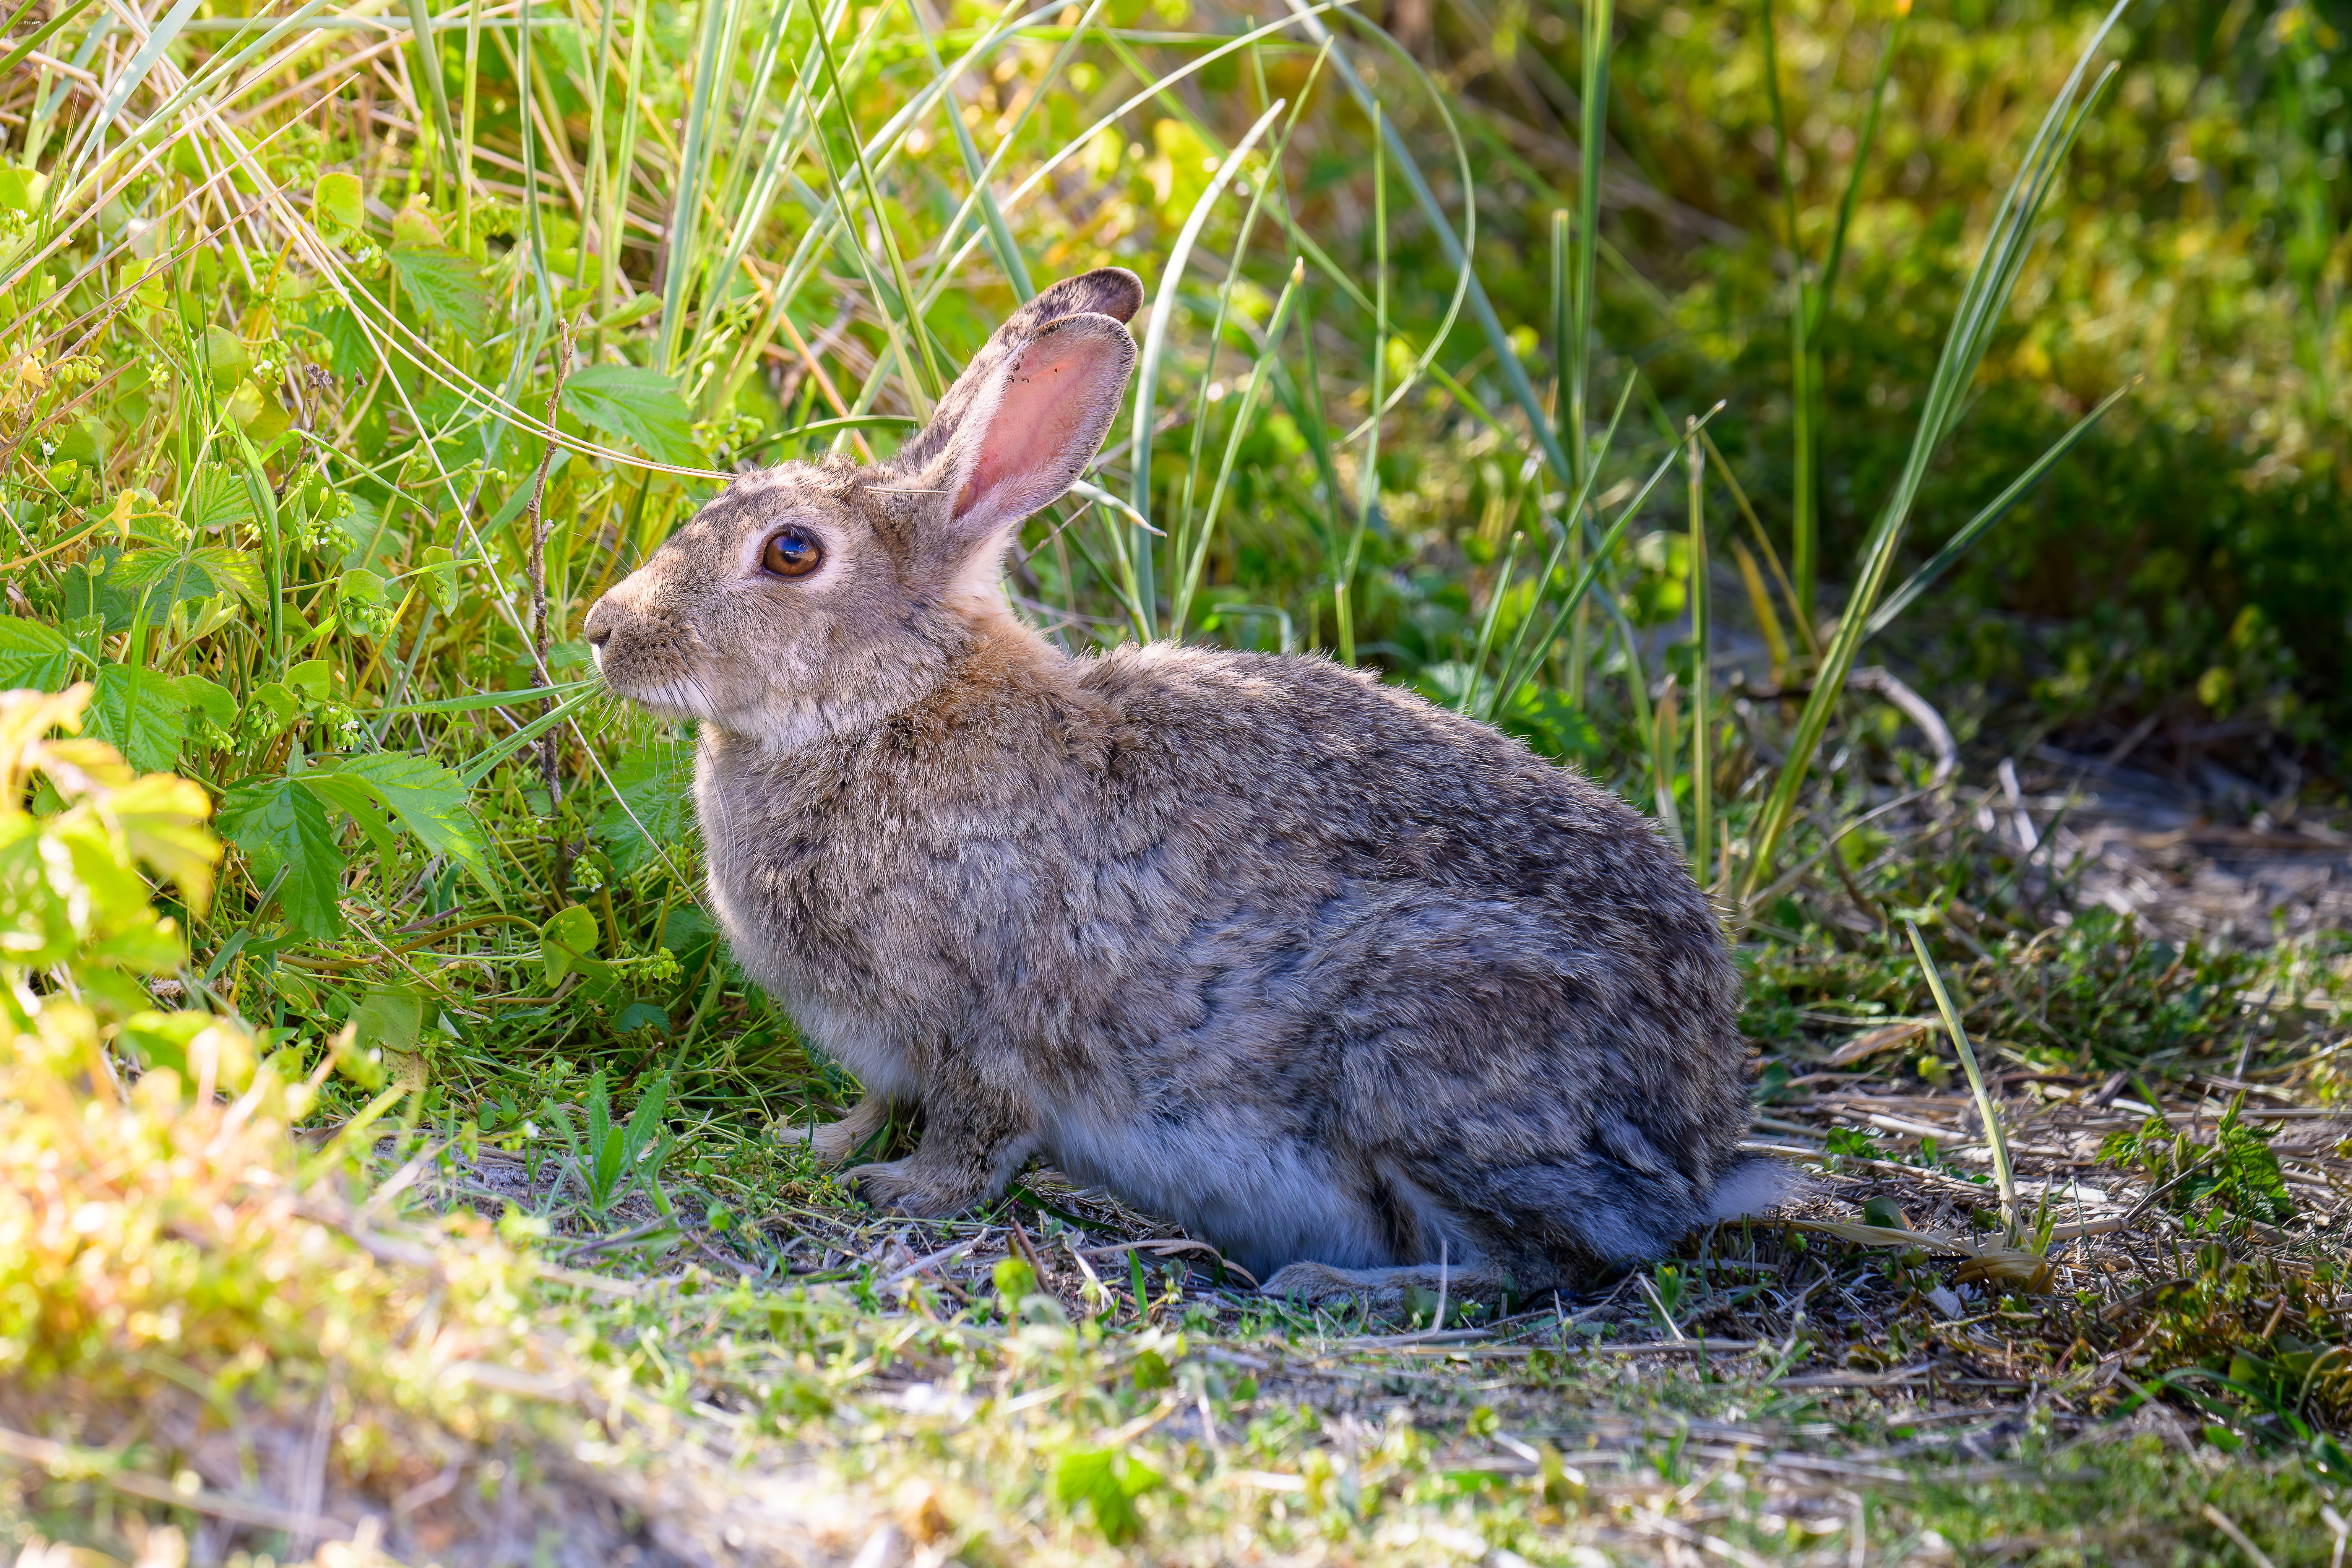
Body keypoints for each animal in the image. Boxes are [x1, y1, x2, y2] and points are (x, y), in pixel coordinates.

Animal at [582, 267, 1786, 1304]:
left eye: (791, 553)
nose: (602, 631)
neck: (887, 708)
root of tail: (1695, 1139)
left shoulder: (987, 1022)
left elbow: (972, 1131)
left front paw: (902, 1191)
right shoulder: (895, 1042)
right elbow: (879, 1099)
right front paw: (813, 1141)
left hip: (1430, 1053)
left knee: (1544, 1261)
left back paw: (1335, 1284)